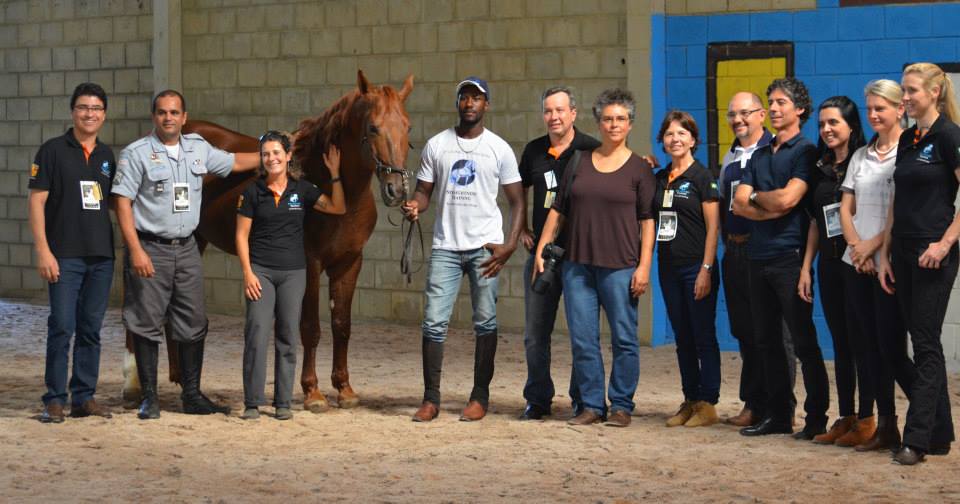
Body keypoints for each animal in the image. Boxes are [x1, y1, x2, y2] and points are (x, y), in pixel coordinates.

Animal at [122, 70, 414, 410]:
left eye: (407, 126)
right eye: (373, 127)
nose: (397, 189)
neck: (336, 191)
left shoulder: (350, 262)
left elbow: (342, 325)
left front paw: (345, 389)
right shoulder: (310, 263)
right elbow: (310, 327)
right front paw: (313, 393)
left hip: (196, 240)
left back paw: (180, 378)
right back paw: (133, 386)